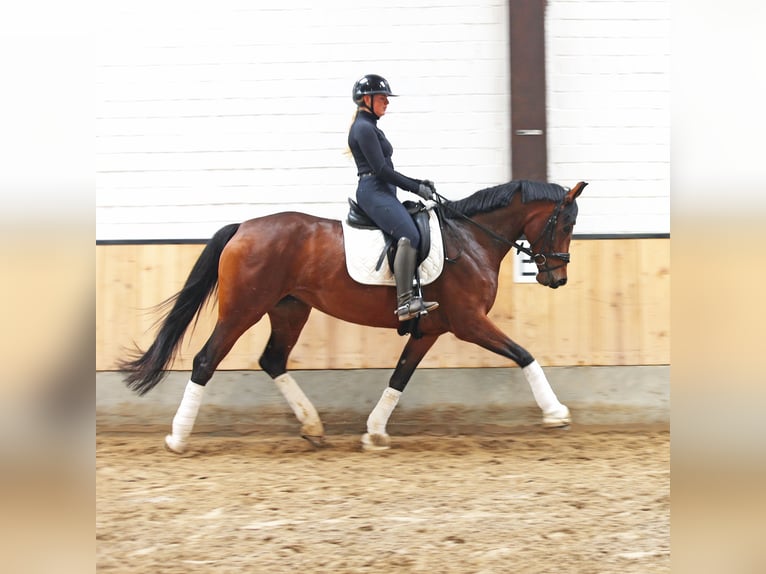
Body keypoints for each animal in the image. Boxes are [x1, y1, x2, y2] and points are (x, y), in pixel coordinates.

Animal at [119, 179, 587, 452]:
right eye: (565, 224)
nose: (558, 277)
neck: (471, 239)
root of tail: (243, 227)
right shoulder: (468, 322)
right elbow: (524, 355)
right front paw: (556, 414)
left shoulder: (429, 330)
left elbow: (399, 377)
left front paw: (375, 432)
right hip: (242, 311)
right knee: (205, 361)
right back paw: (178, 437)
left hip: (289, 309)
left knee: (272, 360)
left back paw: (312, 427)